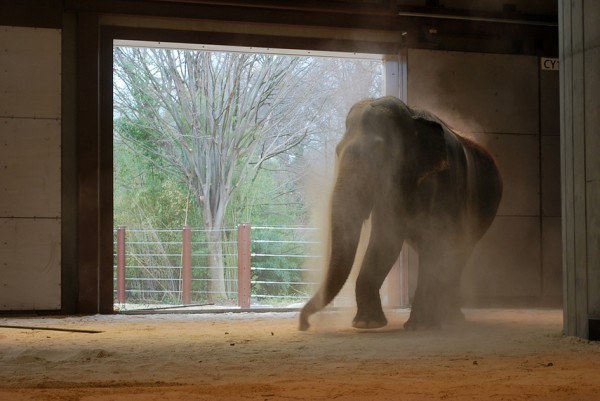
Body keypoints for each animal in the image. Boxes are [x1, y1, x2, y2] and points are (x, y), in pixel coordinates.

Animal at [298, 95, 502, 330]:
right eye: (337, 152)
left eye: (379, 154)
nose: (304, 324)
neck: (411, 116)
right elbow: (386, 239)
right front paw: (367, 324)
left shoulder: (446, 182)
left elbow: (432, 241)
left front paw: (419, 326)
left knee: (455, 253)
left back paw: (449, 319)